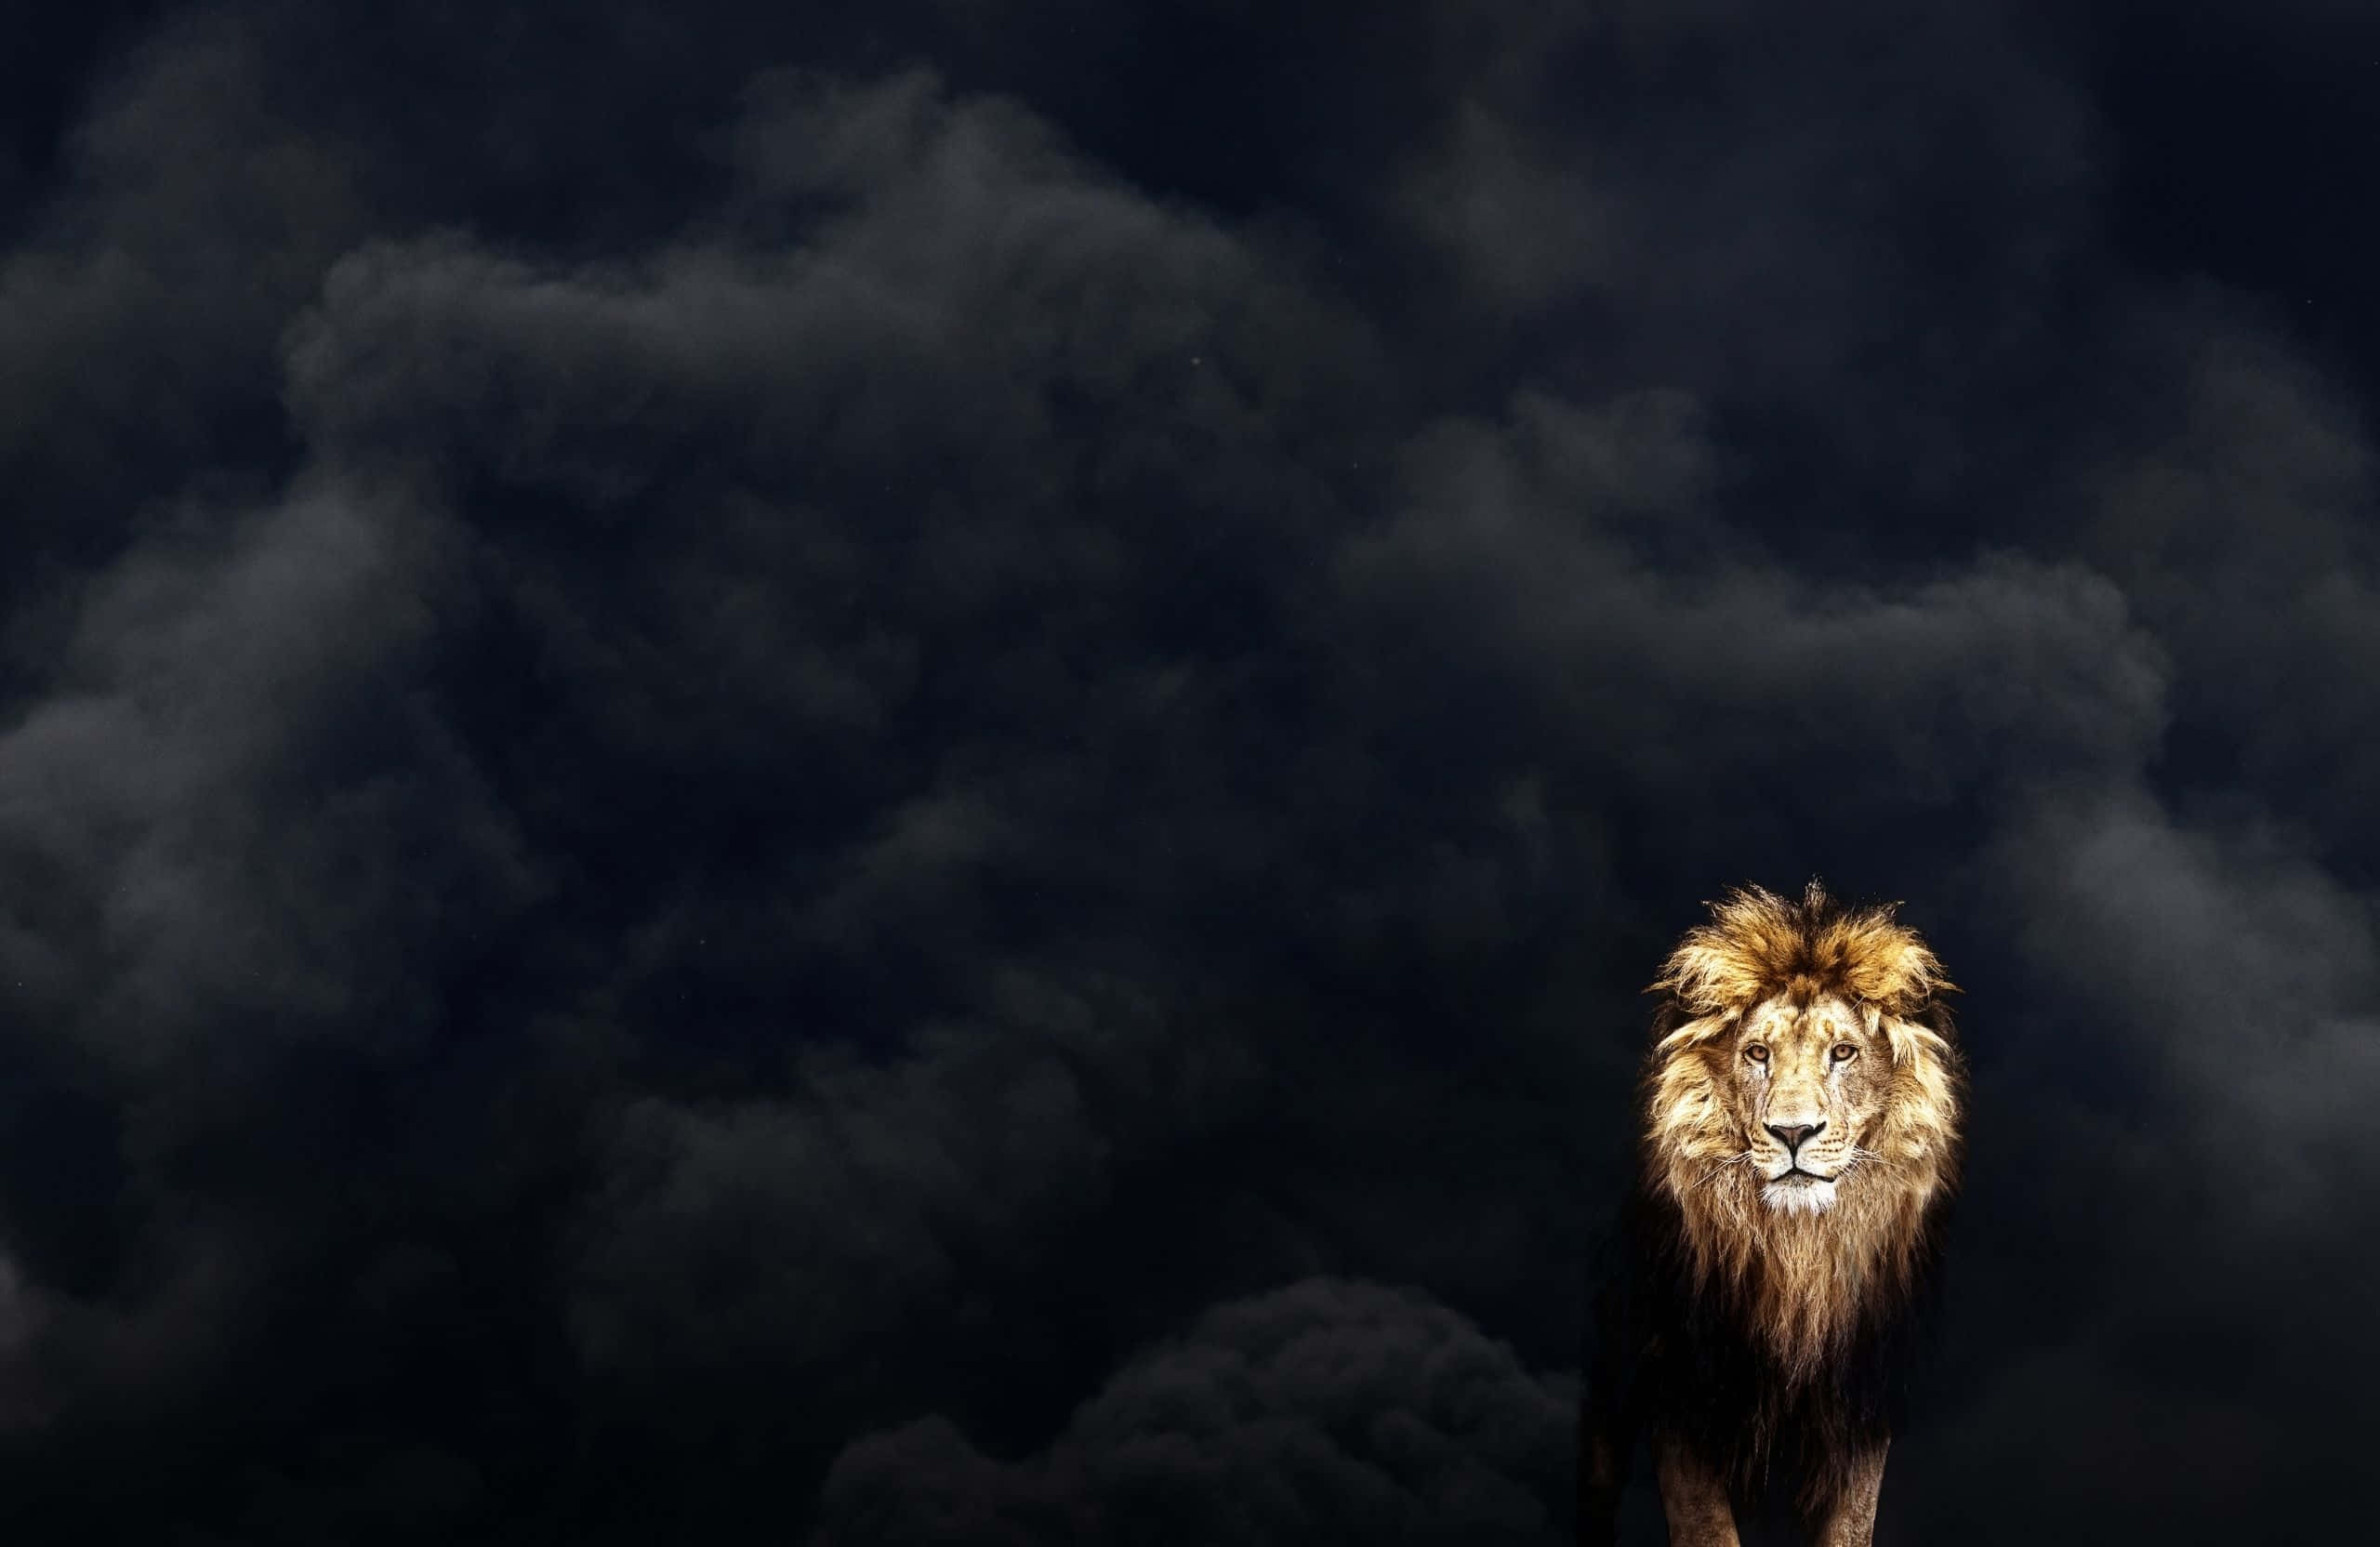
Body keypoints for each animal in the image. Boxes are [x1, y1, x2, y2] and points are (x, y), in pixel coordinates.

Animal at [1577, 880, 1964, 1547]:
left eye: (1844, 1052)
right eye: (1758, 1052)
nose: (1792, 1132)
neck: (1796, 1254)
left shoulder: (1862, 1401)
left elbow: (1851, 1525)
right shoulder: (1681, 1390)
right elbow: (1707, 1528)